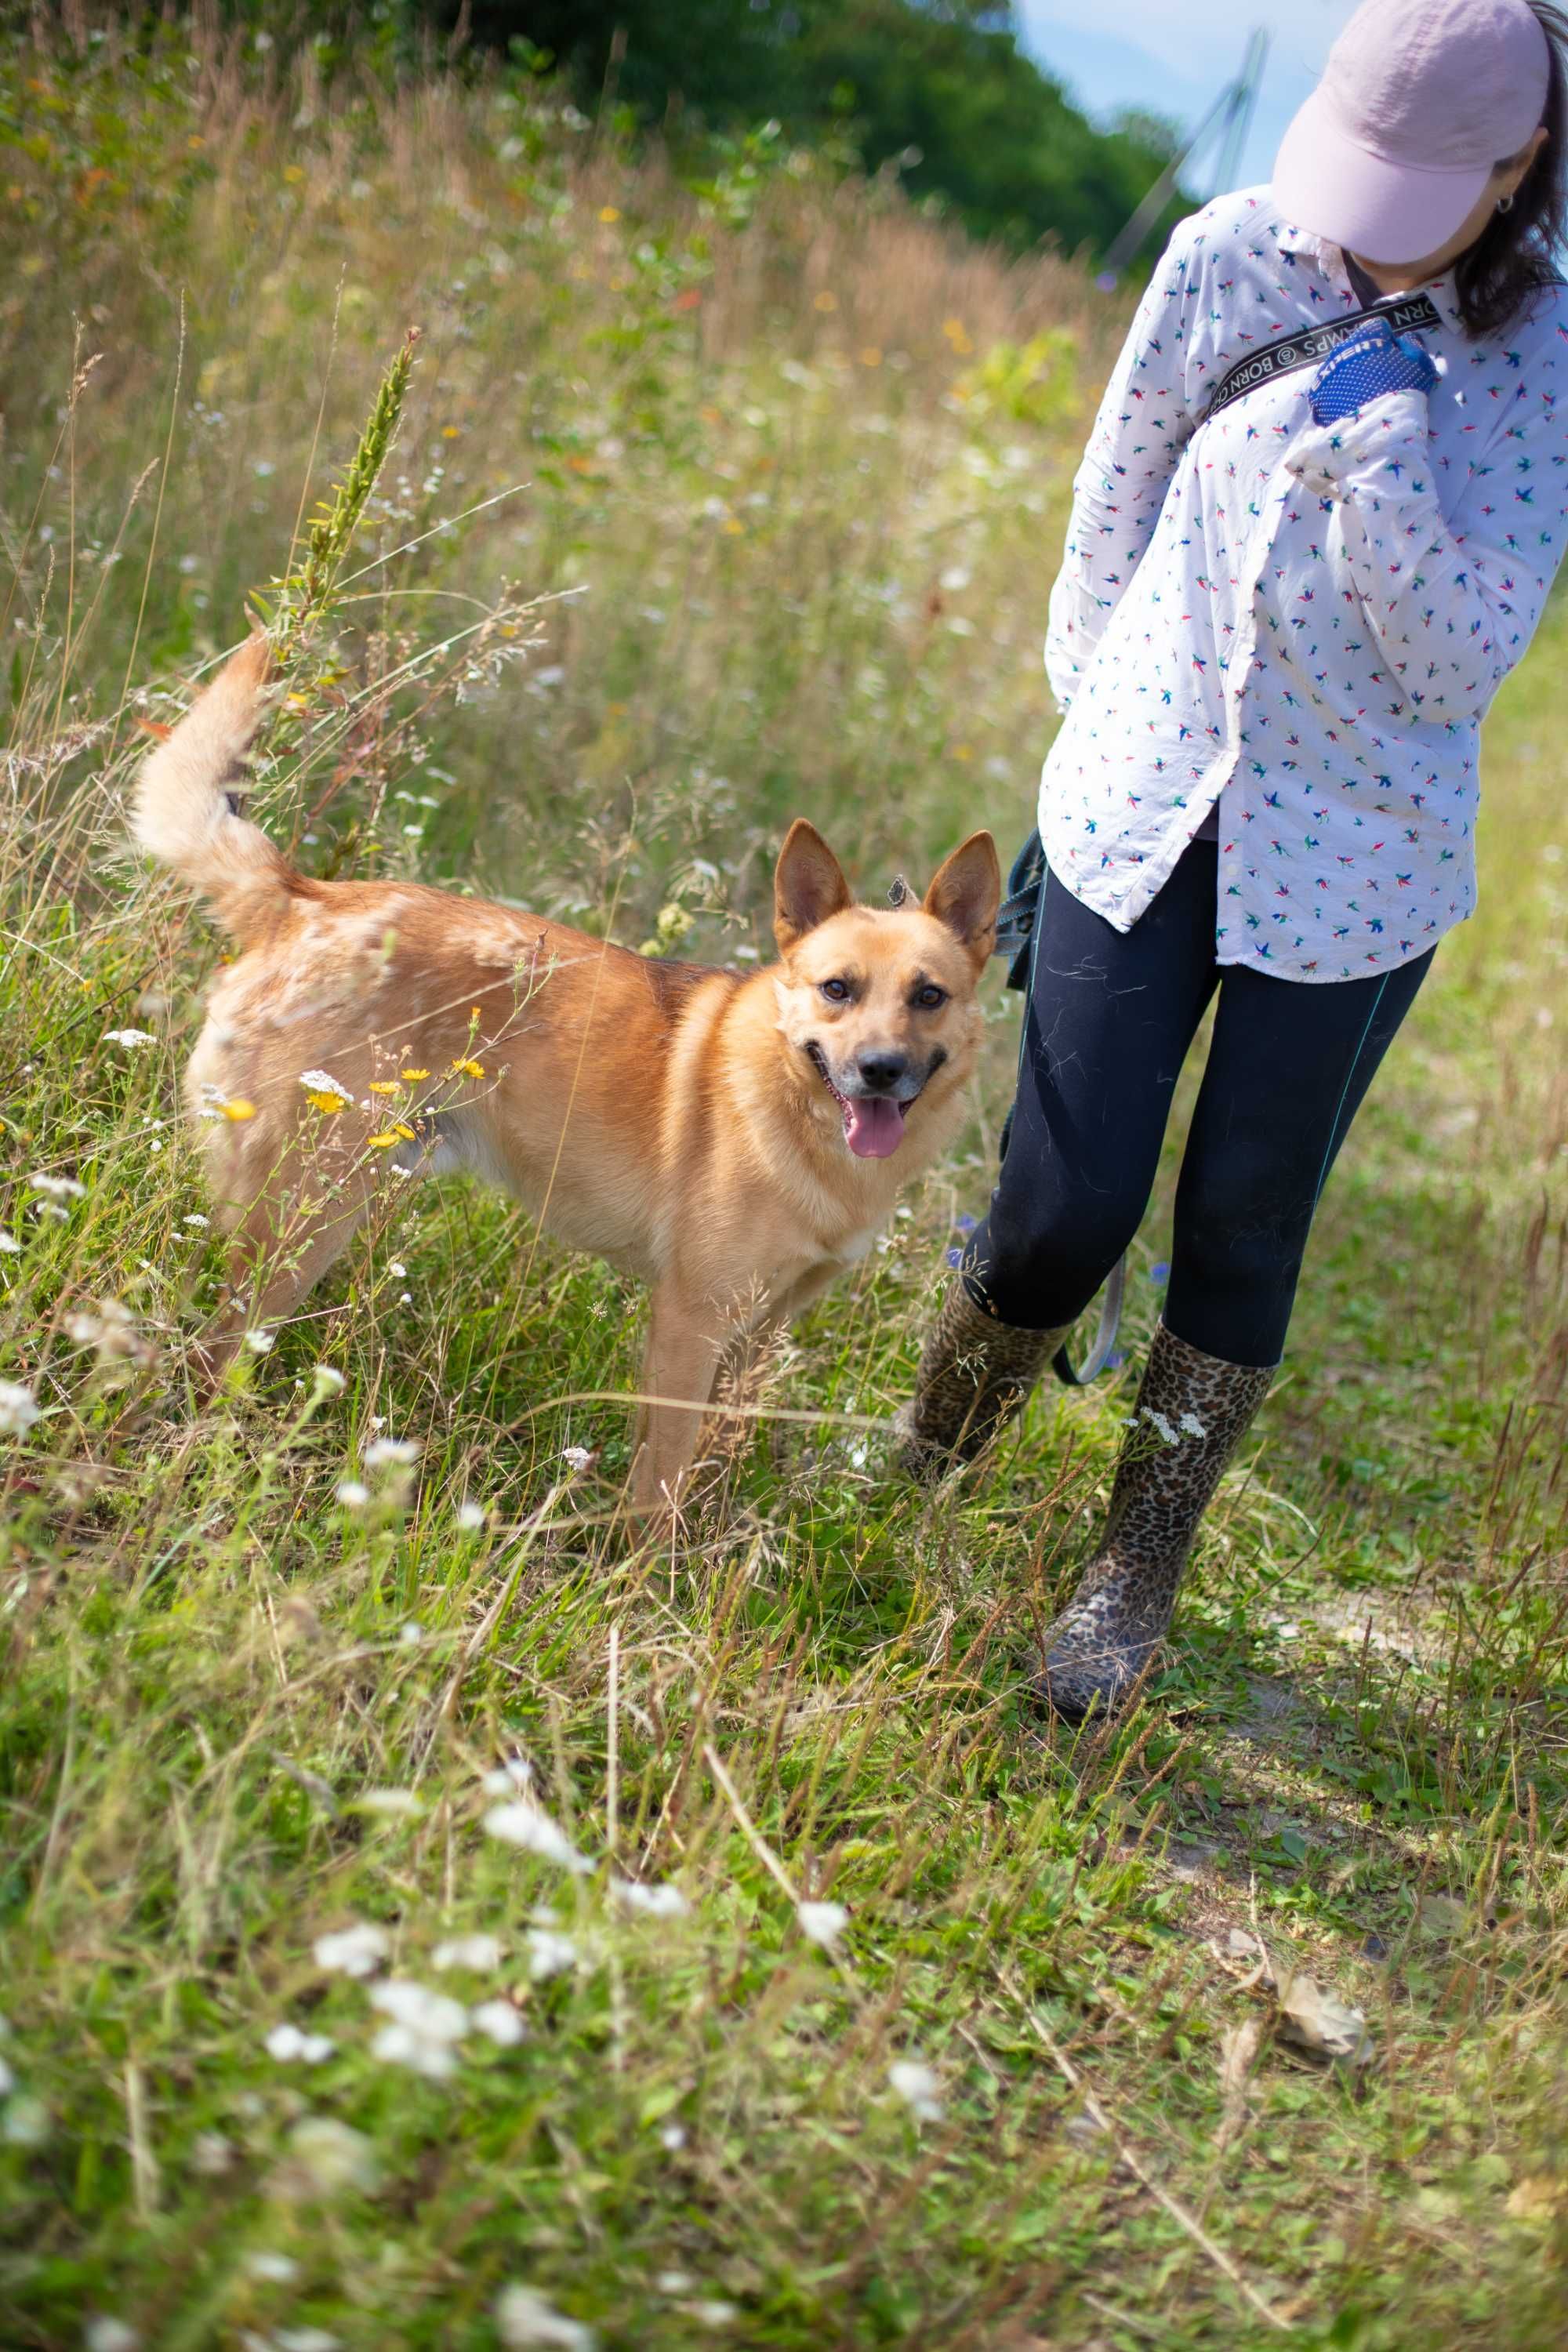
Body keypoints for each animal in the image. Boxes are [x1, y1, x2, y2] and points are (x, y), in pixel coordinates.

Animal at [140, 644, 1001, 1515]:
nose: (879, 1072)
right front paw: (646, 1554)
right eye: (836, 989)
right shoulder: (691, 1321)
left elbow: (702, 1468)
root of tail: (301, 899)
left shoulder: (751, 1335)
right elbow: (658, 1488)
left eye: (928, 997)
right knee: (212, 1356)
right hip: (302, 1225)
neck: (801, 1113)